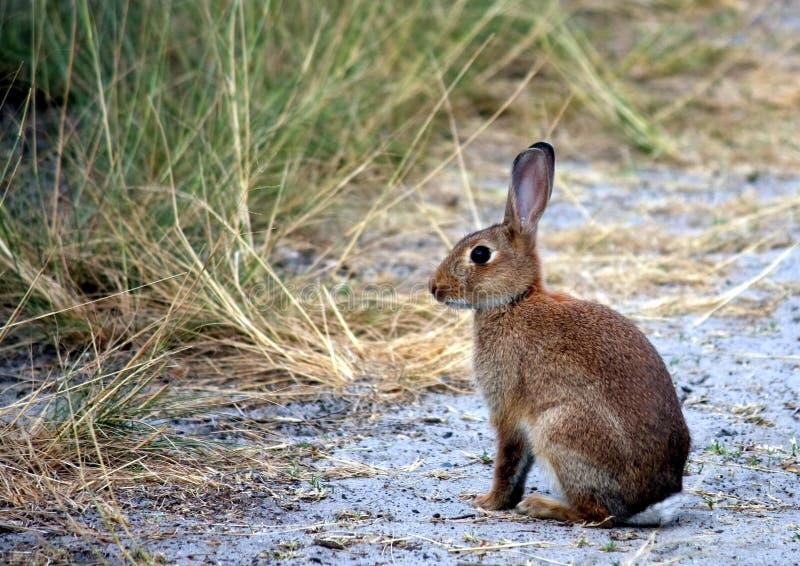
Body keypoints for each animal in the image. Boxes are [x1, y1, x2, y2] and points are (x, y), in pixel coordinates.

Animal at [428, 142, 692, 528]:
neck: (515, 300)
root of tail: (647, 504)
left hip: (558, 431)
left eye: (479, 254)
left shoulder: (508, 411)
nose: (434, 288)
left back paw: (540, 506)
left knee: (596, 514)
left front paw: (489, 502)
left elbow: (507, 461)